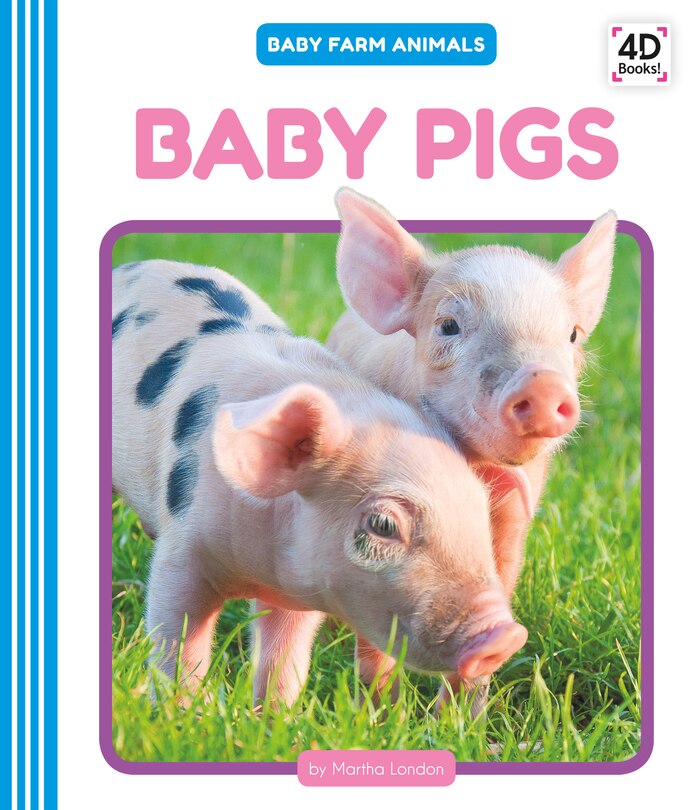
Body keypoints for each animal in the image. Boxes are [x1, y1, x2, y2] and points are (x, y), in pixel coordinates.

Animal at [111, 259, 528, 708]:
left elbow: (285, 659)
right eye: (383, 525)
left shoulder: (305, 585)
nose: (505, 635)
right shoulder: (183, 548)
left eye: (480, 514)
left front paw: (273, 715)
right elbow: (177, 639)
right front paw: (185, 712)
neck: (257, 570)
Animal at [327, 189, 616, 711]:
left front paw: (460, 718)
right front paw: (379, 713)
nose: (541, 380)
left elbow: (498, 578)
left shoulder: (518, 511)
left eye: (572, 334)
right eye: (448, 326)